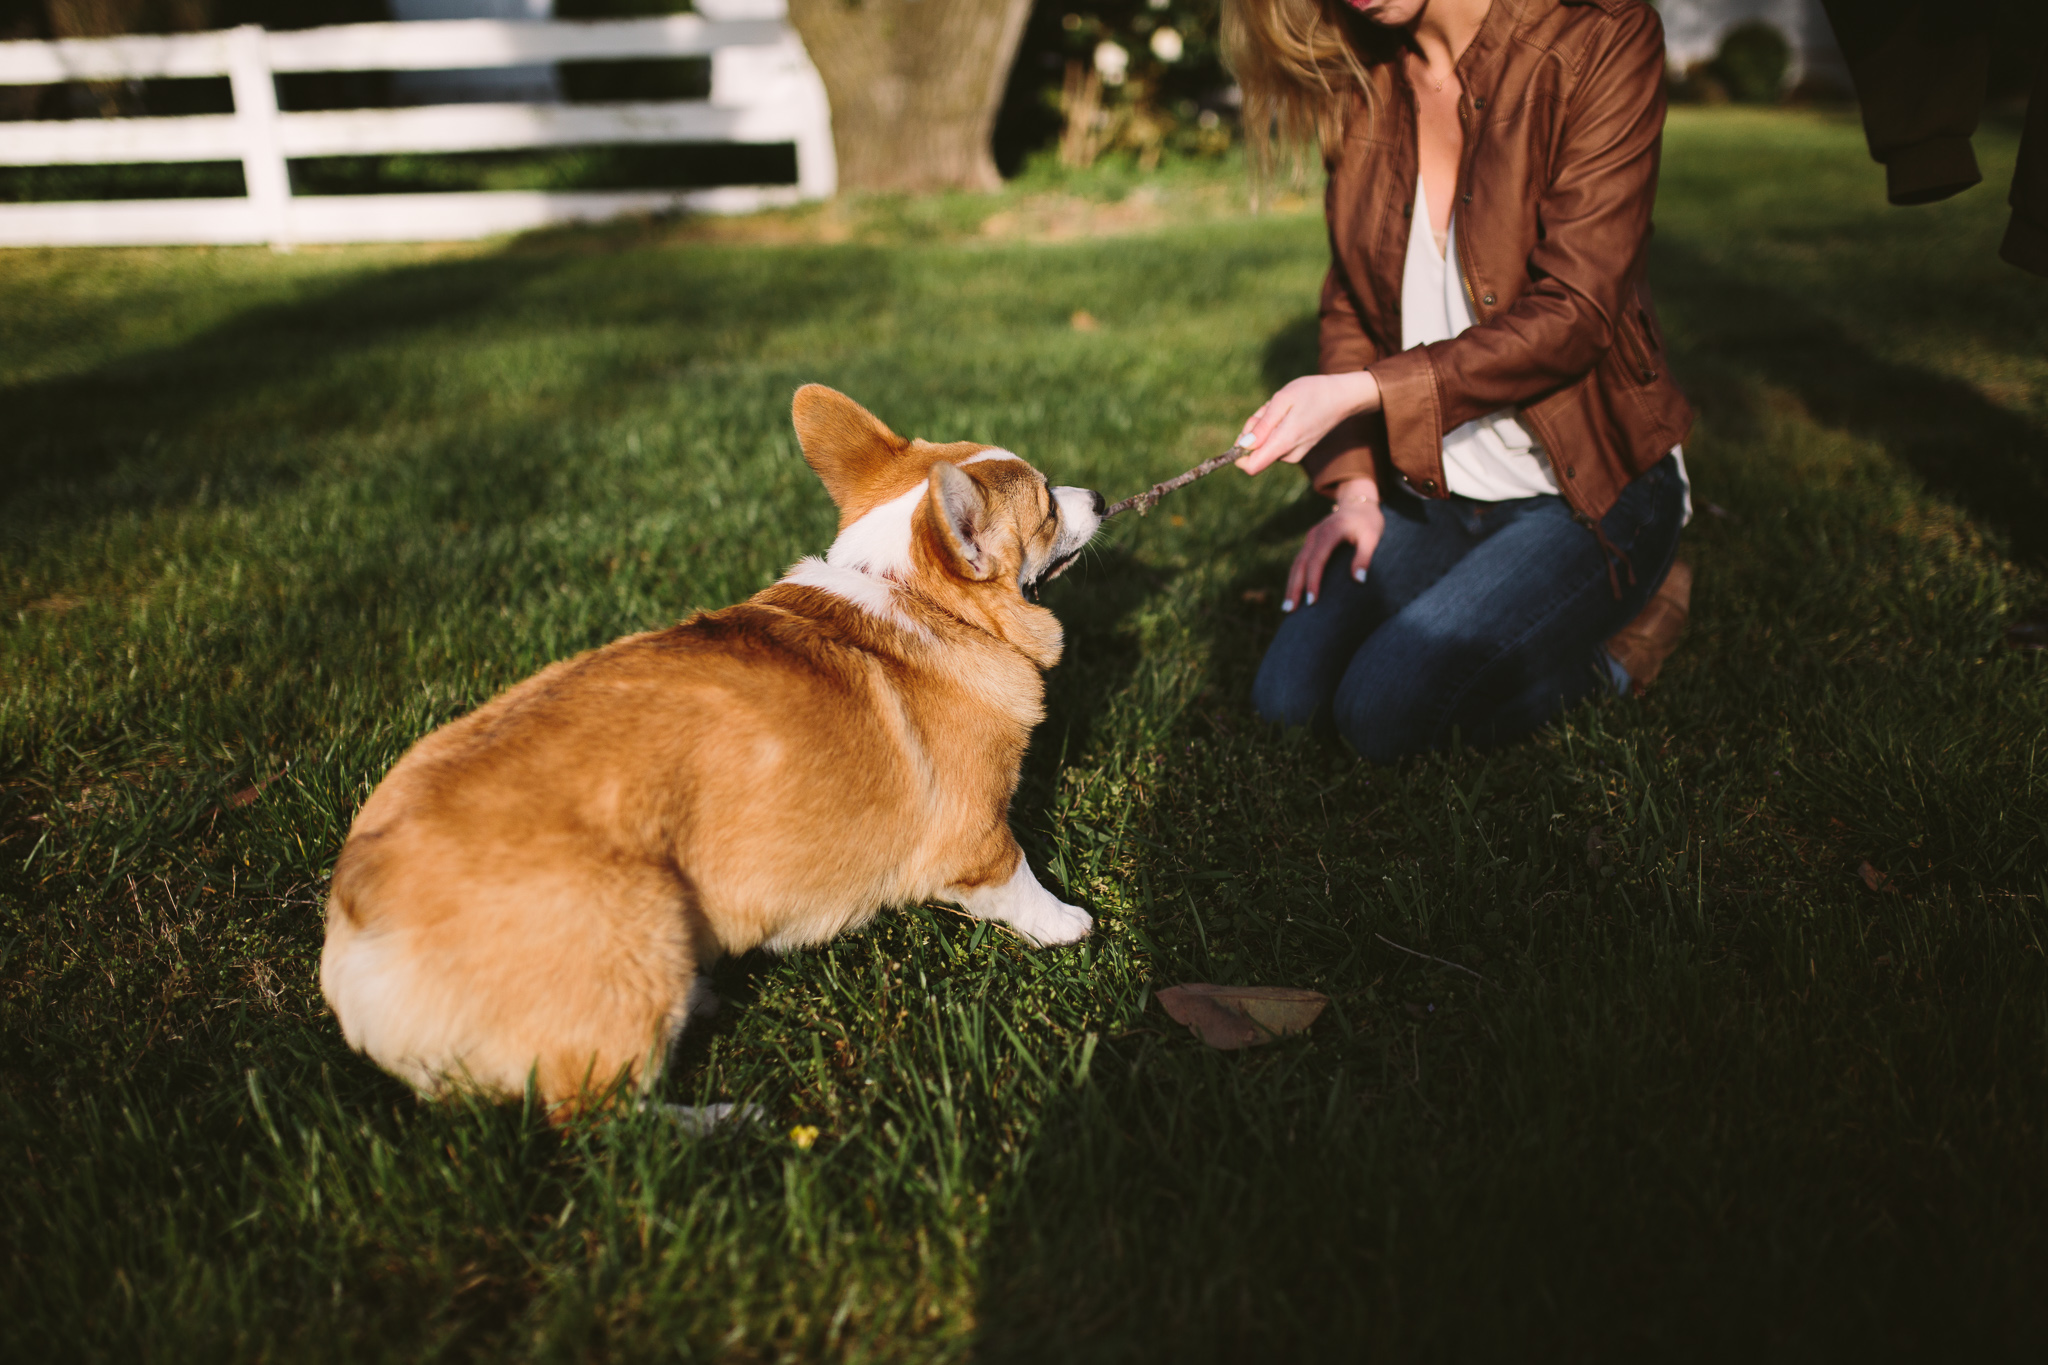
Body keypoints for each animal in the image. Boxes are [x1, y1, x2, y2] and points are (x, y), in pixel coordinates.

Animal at [319, 388, 1105, 1113]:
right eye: (1046, 507)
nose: (1098, 495)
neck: (914, 595)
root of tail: (360, 906)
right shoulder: (978, 833)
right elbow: (1019, 879)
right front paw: (1068, 925)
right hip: (641, 924)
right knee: (610, 1115)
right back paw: (724, 1118)